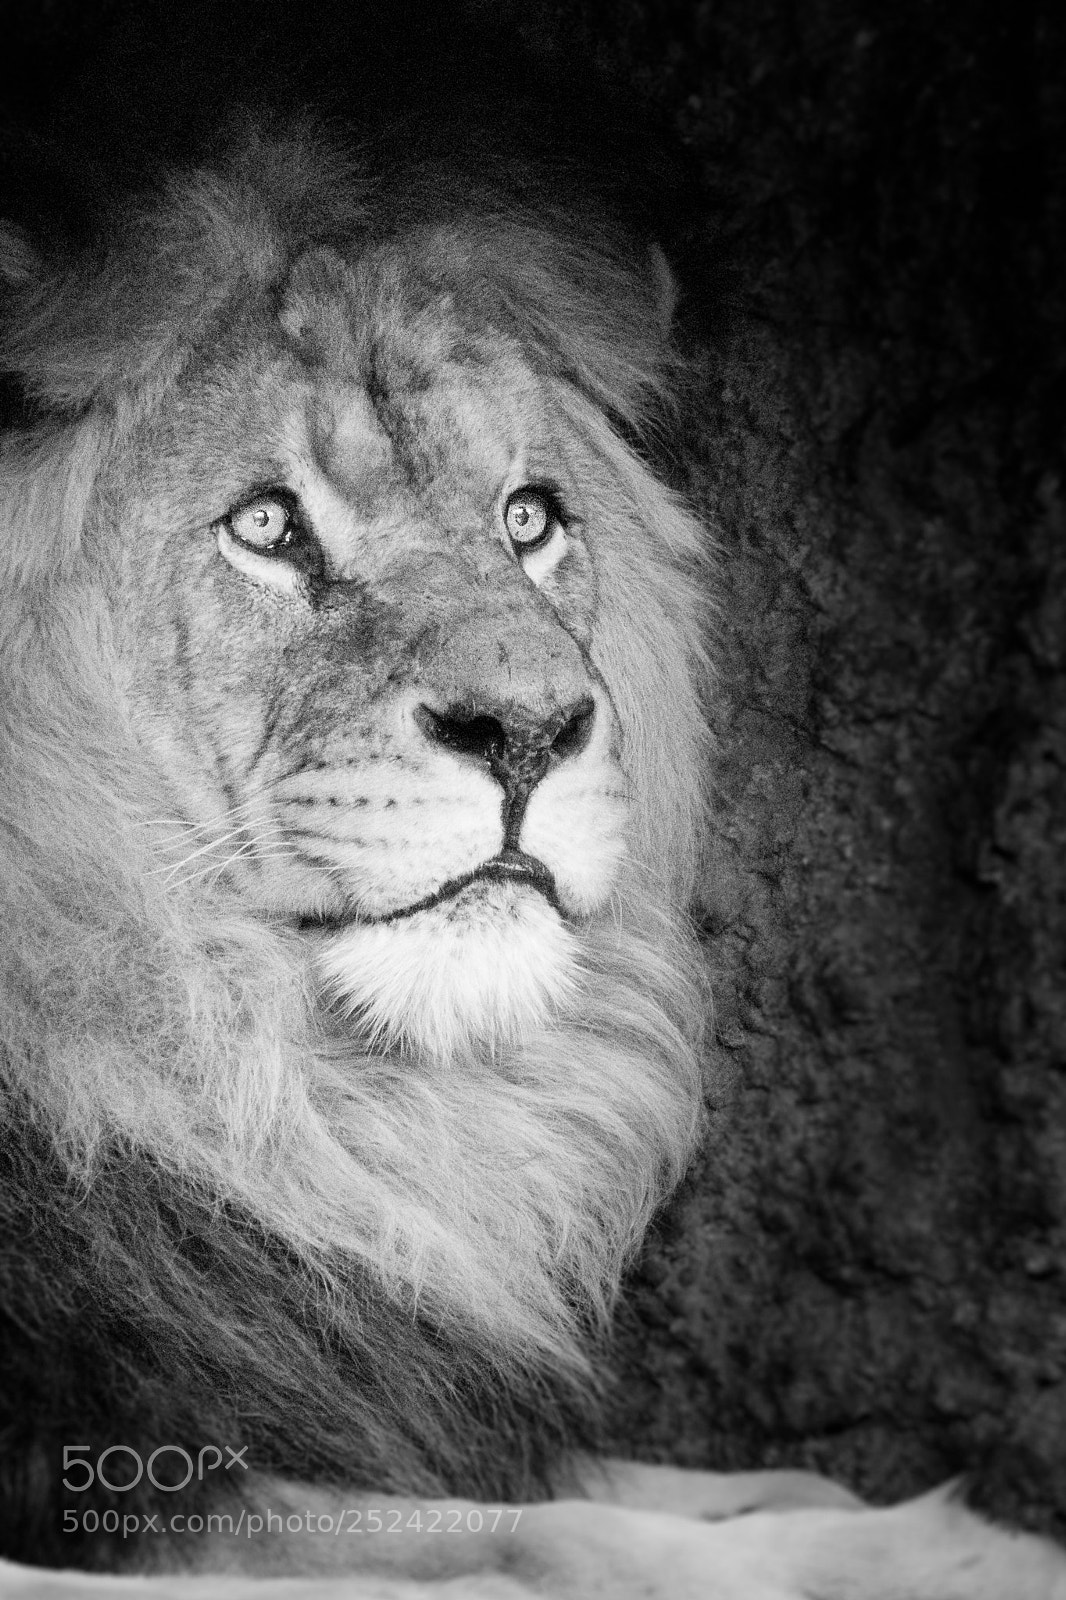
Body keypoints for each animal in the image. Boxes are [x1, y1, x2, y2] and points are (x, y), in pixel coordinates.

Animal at [0, 120, 1062, 1600]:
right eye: (266, 527)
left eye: (526, 520)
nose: (529, 731)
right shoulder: (109, 1484)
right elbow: (539, 1535)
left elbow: (602, 1488)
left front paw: (865, 1516)